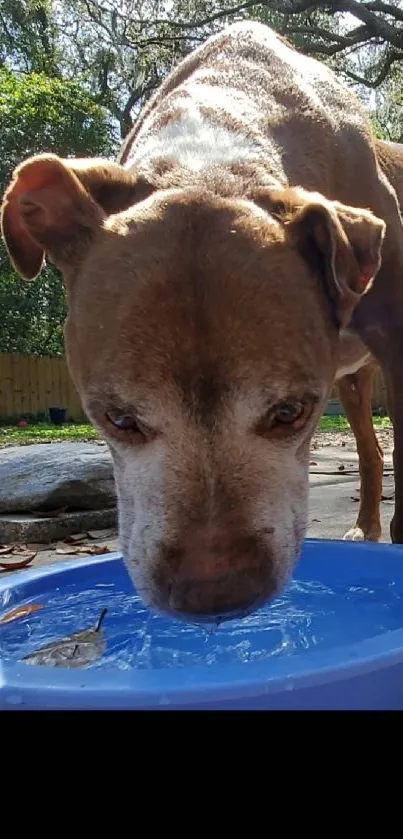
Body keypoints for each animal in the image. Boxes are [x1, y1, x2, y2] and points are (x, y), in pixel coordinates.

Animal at [1, 21, 402, 624]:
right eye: (118, 419)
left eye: (291, 412)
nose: (215, 593)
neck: (212, 156)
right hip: (353, 383)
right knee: (370, 448)